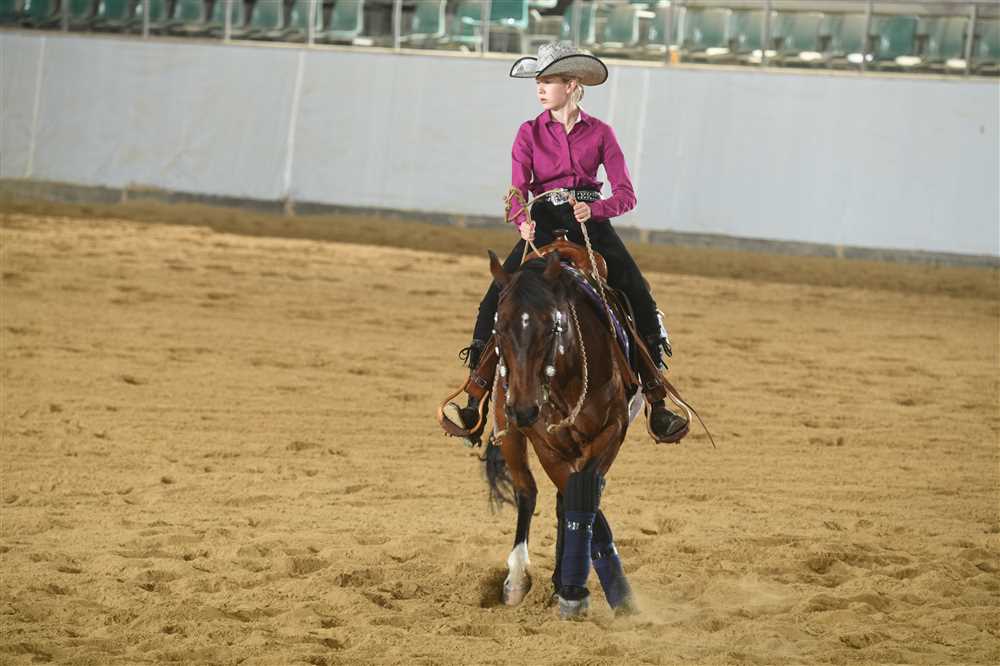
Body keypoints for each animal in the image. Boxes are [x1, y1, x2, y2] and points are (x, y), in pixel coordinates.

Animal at [484, 248, 642, 619]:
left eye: (553, 326)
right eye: (499, 327)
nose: (523, 409)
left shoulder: (613, 430)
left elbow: (582, 494)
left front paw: (597, 590)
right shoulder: (546, 443)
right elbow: (570, 494)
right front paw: (573, 591)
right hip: (511, 435)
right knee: (527, 491)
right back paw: (516, 580)